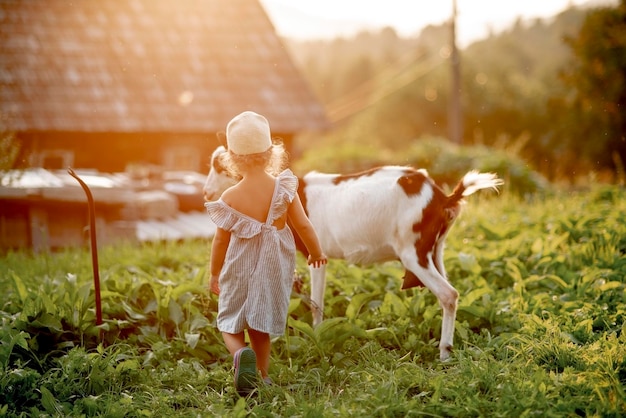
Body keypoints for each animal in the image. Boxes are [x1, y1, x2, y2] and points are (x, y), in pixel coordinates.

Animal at [202, 145, 500, 360]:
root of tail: (442, 197)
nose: (206, 193)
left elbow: (316, 301)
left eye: (220, 167)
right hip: (435, 252)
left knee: (449, 295)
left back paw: (444, 353)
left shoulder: (317, 256)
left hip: (413, 253)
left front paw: (317, 336)